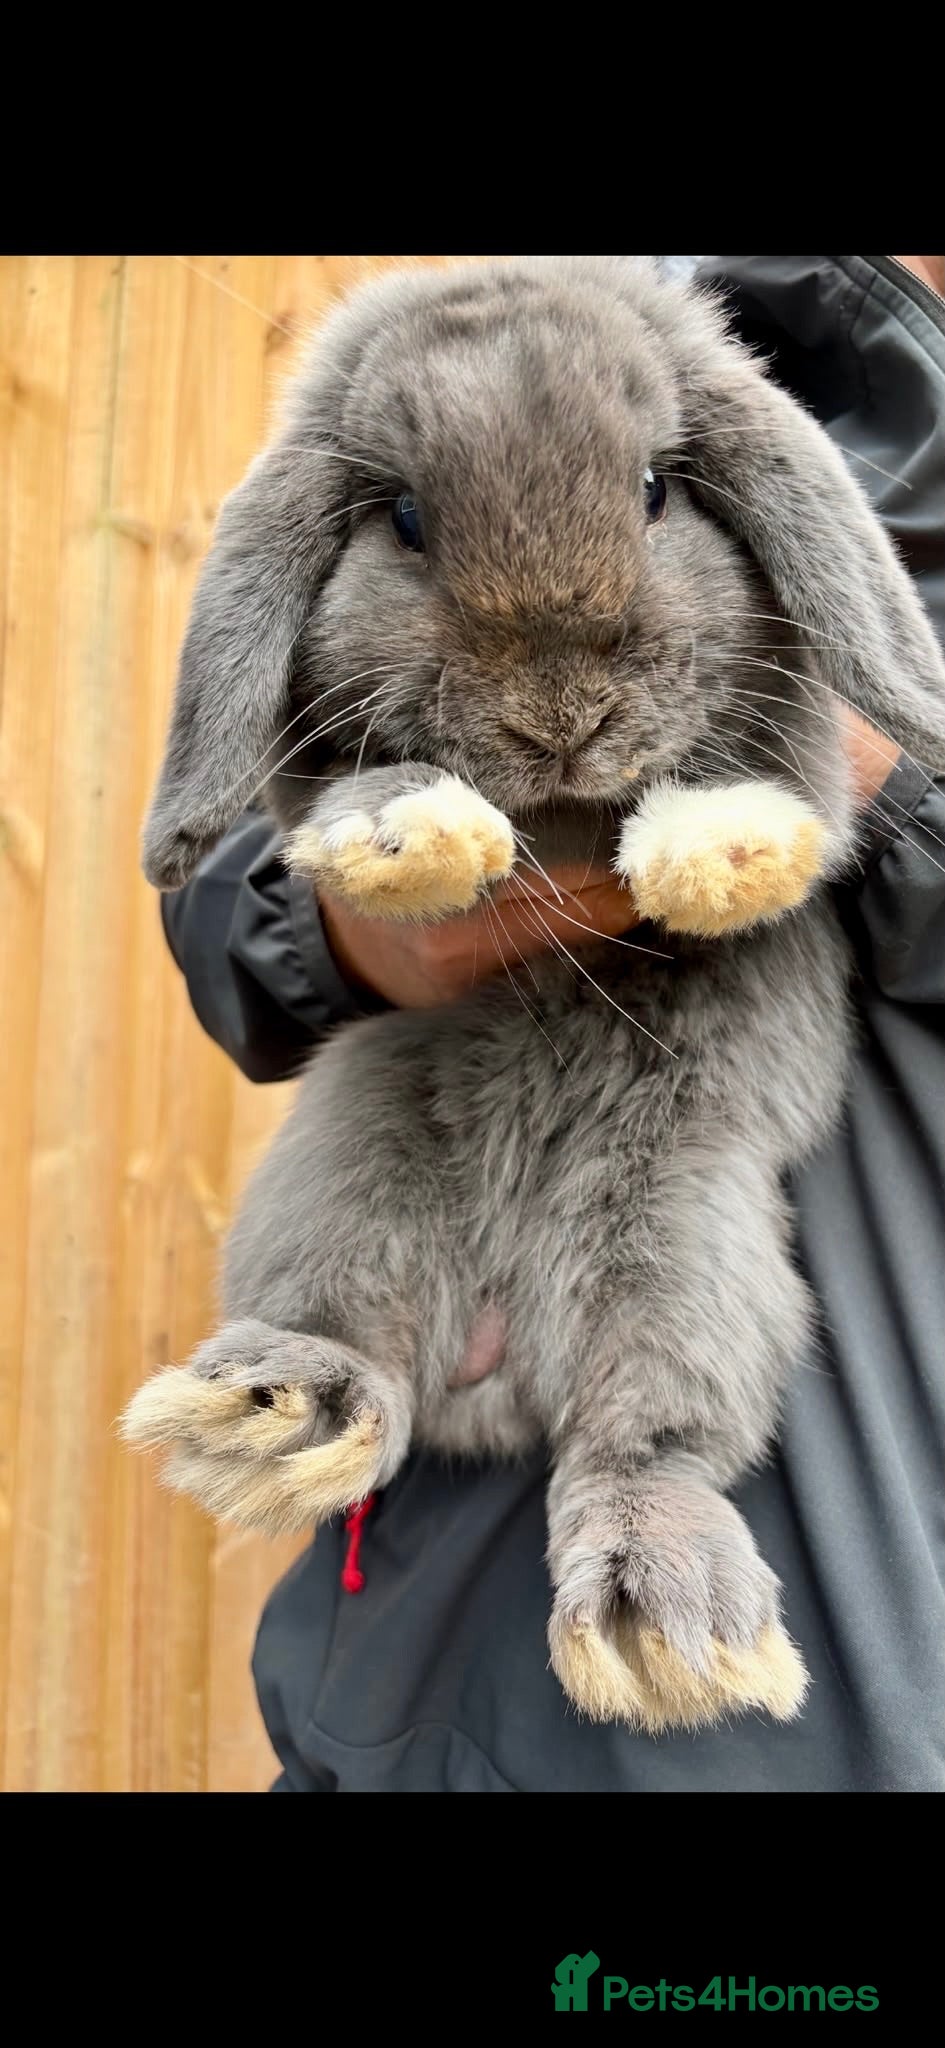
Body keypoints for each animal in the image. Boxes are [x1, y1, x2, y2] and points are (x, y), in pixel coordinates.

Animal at [121, 256, 945, 1734]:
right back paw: (273, 1411)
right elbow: (347, 796)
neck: (562, 815)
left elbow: (773, 770)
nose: (559, 716)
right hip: (347, 1190)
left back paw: (662, 1624)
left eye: (657, 490)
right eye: (402, 519)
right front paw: (414, 834)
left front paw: (725, 844)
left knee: (640, 1446)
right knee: (366, 1358)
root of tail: (495, 1366)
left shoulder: (795, 722)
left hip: (687, 1249)